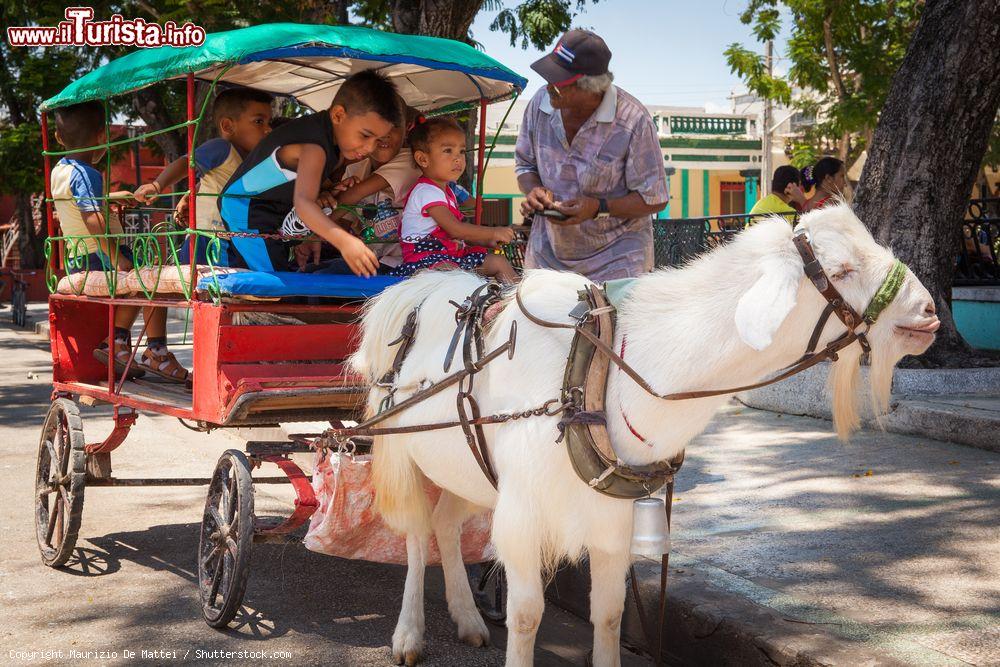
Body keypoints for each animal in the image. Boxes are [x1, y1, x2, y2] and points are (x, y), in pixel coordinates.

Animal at [350, 205, 936, 667]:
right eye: (841, 269)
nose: (928, 310)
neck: (601, 370)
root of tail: (413, 290)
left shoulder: (610, 520)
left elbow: (609, 614)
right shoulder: (522, 516)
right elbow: (527, 615)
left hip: (468, 470)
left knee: (447, 524)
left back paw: (469, 620)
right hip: (403, 451)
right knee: (417, 533)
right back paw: (409, 635)